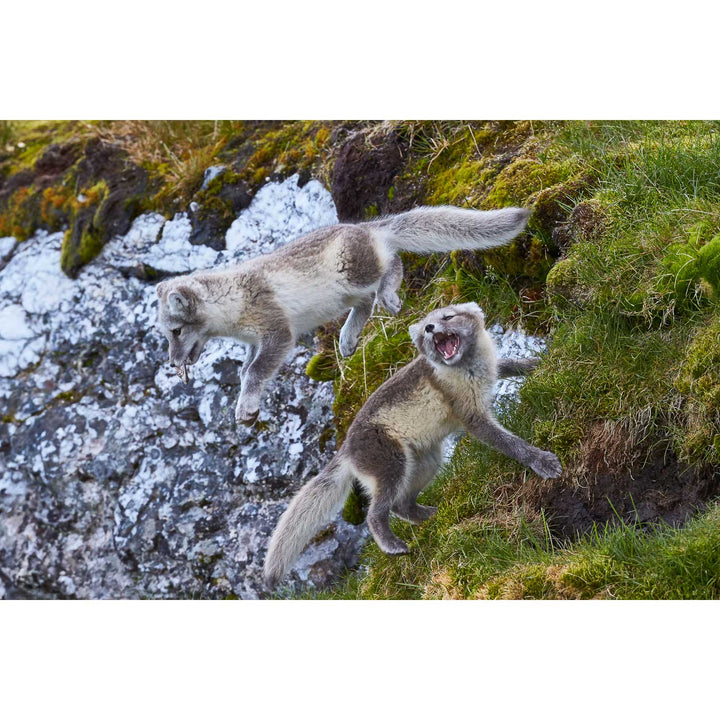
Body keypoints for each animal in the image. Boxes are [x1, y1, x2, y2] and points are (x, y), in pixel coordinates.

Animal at [156, 205, 528, 424]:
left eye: (175, 331)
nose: (173, 362)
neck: (231, 303)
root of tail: (366, 226)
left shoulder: (276, 330)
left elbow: (256, 371)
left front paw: (246, 407)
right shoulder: (253, 342)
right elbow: (247, 369)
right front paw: (247, 404)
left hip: (354, 273)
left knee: (392, 264)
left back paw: (388, 296)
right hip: (344, 293)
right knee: (364, 303)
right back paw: (347, 339)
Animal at [264, 300, 564, 588]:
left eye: (447, 317)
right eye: (424, 331)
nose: (430, 328)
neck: (470, 368)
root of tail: (346, 448)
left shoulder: (493, 368)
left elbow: (513, 364)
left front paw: (540, 359)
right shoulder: (472, 417)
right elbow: (510, 443)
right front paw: (542, 461)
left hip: (426, 461)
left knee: (401, 506)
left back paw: (433, 514)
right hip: (391, 463)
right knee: (375, 513)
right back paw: (393, 545)